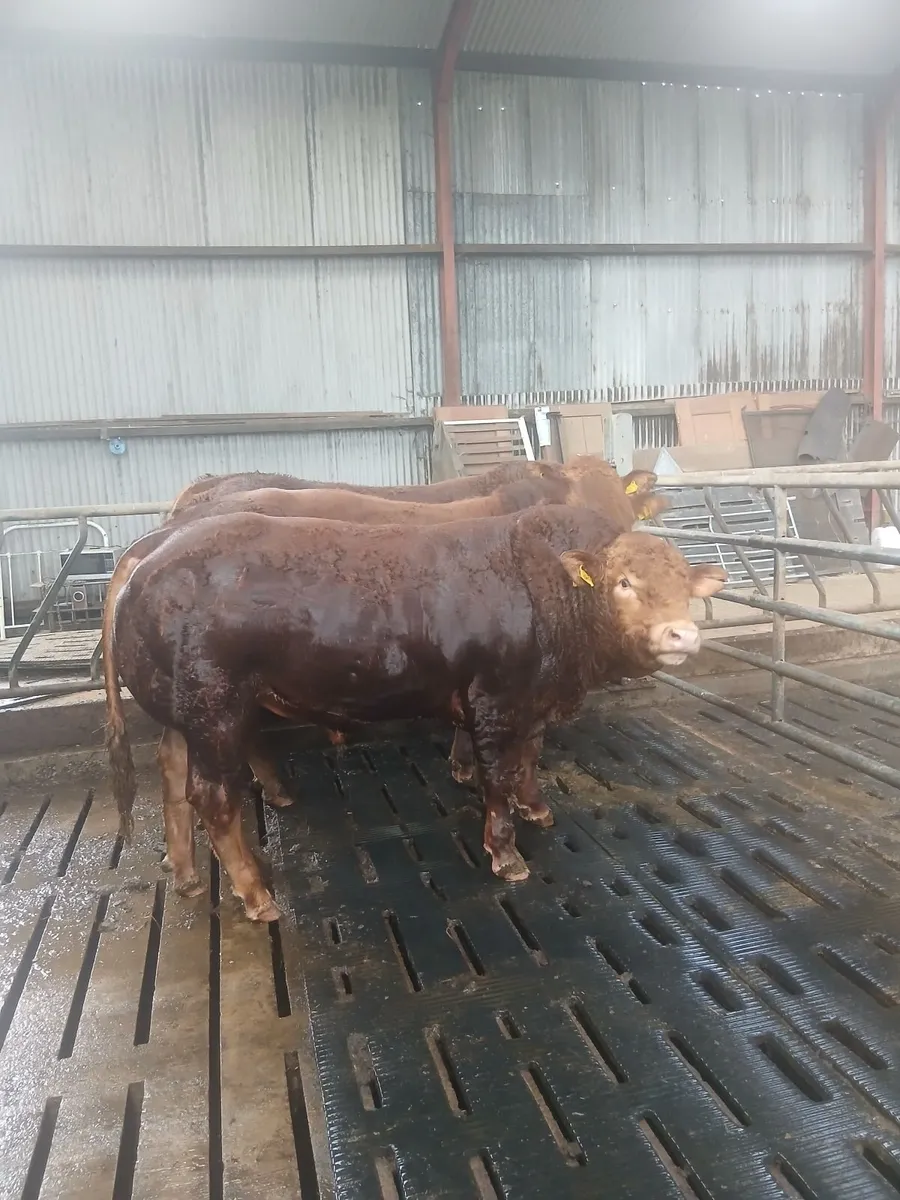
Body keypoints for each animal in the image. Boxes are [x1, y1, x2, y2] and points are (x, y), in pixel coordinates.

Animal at [107, 505, 725, 922]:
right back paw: (257, 895)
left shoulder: (531, 703)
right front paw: (507, 853)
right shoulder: (494, 702)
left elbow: (529, 759)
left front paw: (537, 808)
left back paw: (187, 874)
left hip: (182, 713)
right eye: (624, 582)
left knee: (172, 778)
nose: (681, 633)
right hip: (215, 710)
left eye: (684, 585)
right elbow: (498, 776)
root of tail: (149, 559)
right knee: (212, 798)